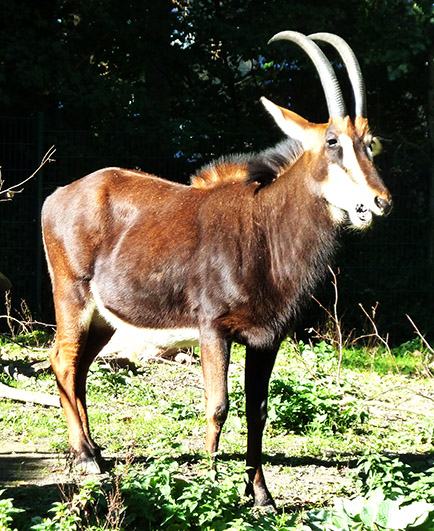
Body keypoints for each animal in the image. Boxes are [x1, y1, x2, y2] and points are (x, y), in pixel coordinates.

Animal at [42, 32, 392, 508]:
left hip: (104, 319)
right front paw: (208, 486)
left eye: (370, 142)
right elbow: (218, 406)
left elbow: (257, 410)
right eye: (333, 141)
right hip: (72, 298)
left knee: (78, 369)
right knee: (62, 360)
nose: (379, 202)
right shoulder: (213, 328)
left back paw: (96, 451)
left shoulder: (267, 338)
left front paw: (261, 495)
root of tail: (58, 194)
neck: (265, 228)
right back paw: (84, 458)